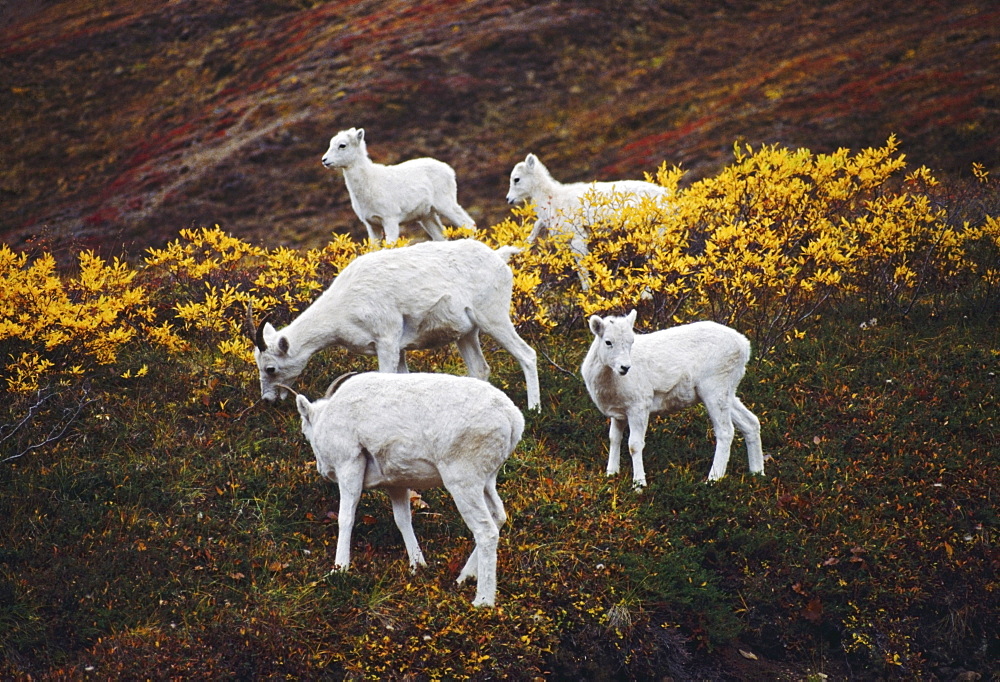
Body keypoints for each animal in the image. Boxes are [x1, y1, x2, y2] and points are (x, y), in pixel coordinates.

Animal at [250, 239, 544, 410]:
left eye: (271, 368)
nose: (267, 400)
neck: (343, 307)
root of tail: (499, 258)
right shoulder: (399, 350)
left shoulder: (387, 343)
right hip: (467, 335)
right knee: (480, 369)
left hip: (494, 319)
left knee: (527, 355)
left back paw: (534, 409)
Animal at [292, 370, 524, 608]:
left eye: (305, 431)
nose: (322, 469)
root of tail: (512, 419)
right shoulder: (396, 485)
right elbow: (403, 520)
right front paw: (417, 566)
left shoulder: (350, 466)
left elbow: (346, 519)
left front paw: (339, 570)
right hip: (486, 482)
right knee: (499, 517)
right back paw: (463, 578)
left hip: (464, 483)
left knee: (486, 531)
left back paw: (482, 601)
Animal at [320, 127, 476, 244]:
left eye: (342, 145)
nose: (324, 160)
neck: (370, 182)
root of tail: (449, 170)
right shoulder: (372, 225)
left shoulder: (390, 220)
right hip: (427, 216)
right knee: (440, 235)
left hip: (446, 204)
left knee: (468, 224)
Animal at [580, 308, 764, 484]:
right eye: (608, 342)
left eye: (631, 341)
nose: (625, 367)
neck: (610, 383)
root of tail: (745, 346)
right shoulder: (619, 413)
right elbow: (614, 439)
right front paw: (611, 474)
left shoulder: (639, 407)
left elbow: (634, 445)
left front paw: (639, 484)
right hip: (727, 393)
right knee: (751, 422)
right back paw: (757, 473)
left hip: (715, 389)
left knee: (726, 432)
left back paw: (713, 480)